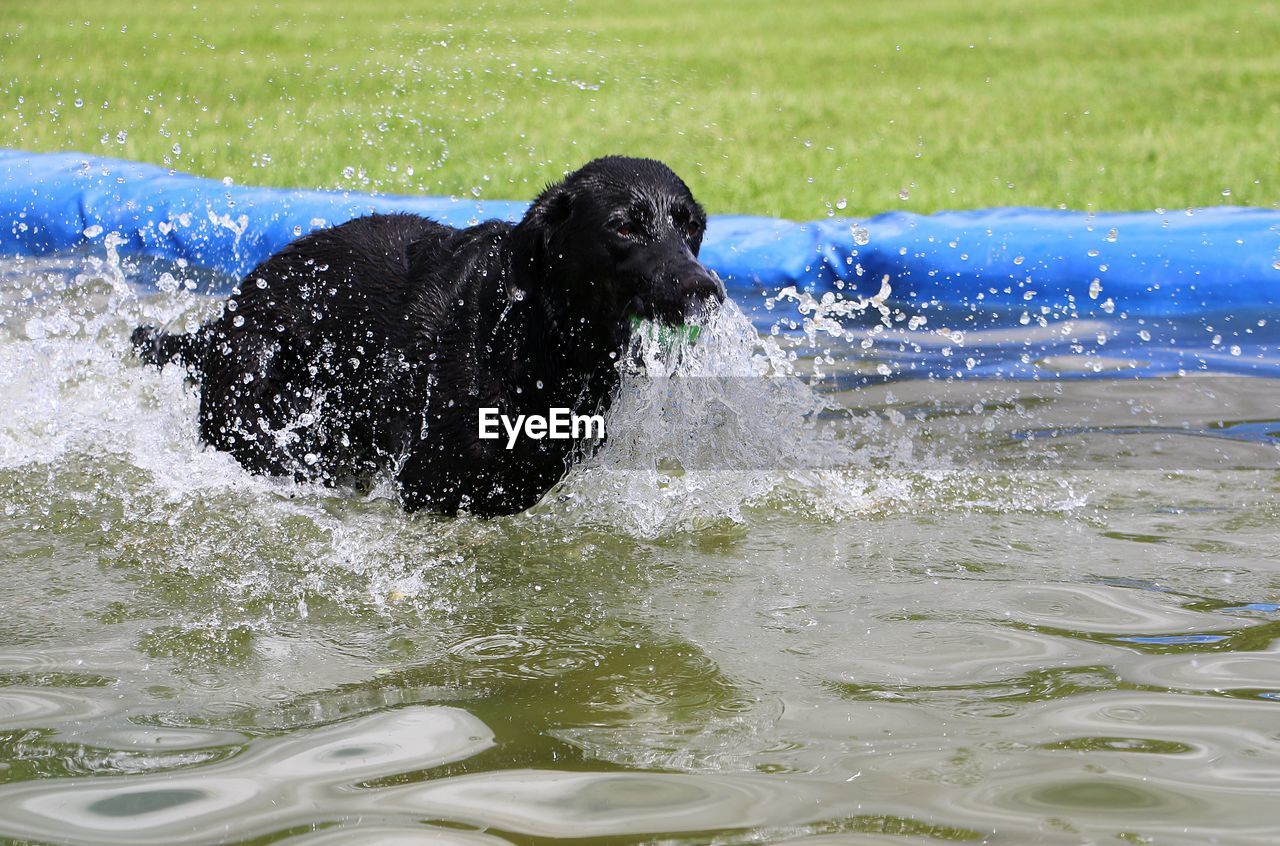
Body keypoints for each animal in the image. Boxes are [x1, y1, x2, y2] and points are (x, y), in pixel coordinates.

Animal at [137, 157, 732, 514]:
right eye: (624, 225)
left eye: (691, 227)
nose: (704, 289)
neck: (538, 334)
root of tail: (226, 316)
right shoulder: (430, 485)